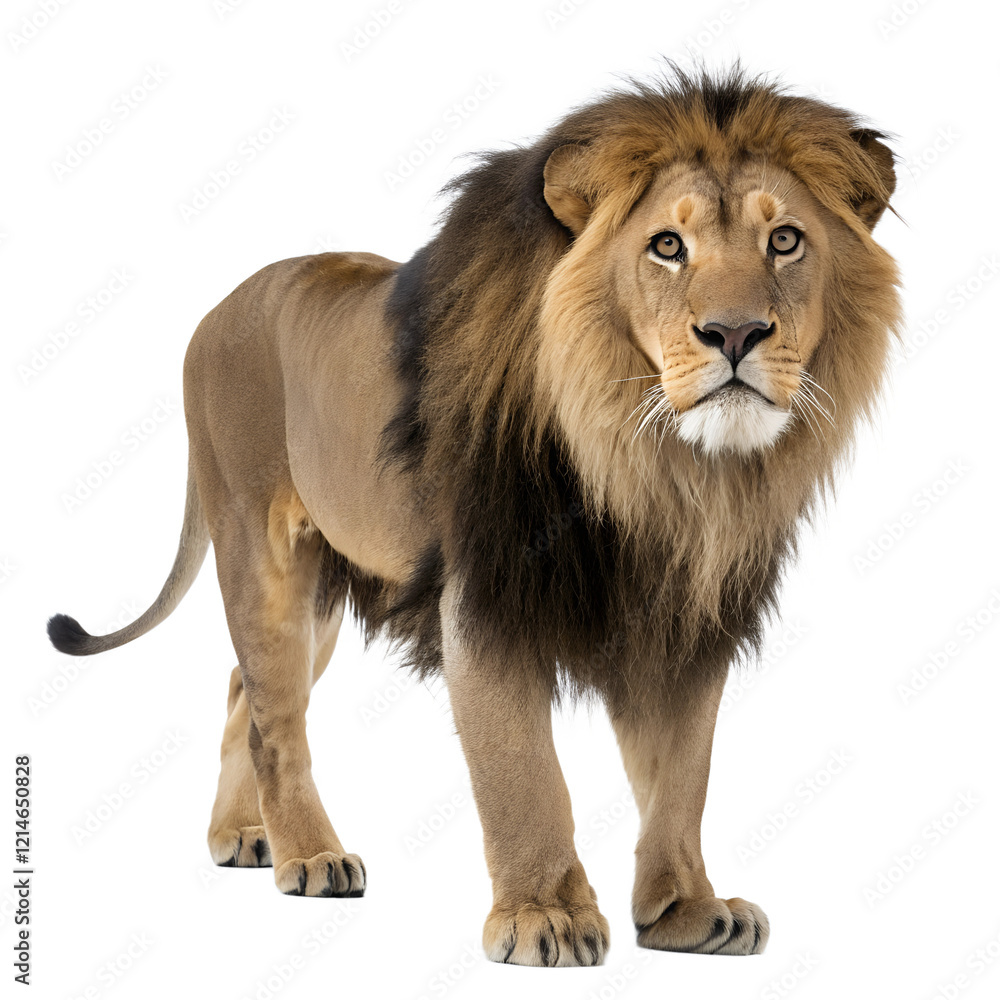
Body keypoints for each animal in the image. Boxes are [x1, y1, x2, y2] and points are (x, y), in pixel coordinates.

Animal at [47, 67, 900, 966]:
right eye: (668, 245)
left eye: (786, 241)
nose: (735, 333)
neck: (658, 468)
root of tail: (214, 312)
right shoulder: (487, 594)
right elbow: (522, 770)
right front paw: (544, 914)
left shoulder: (682, 610)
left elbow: (682, 774)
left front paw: (687, 910)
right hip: (258, 549)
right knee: (277, 718)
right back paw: (309, 856)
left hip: (323, 592)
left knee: (245, 688)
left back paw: (244, 835)